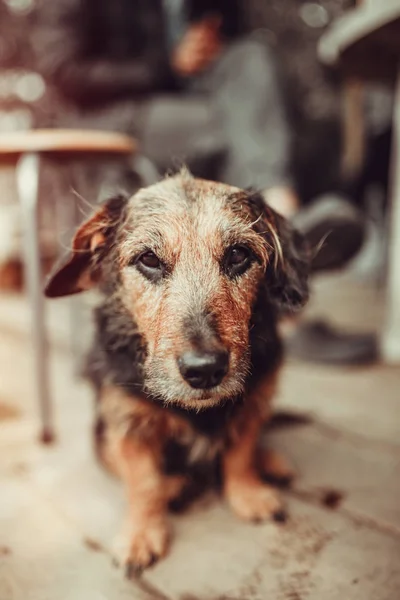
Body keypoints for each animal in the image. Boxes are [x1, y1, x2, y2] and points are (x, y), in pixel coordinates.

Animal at [44, 171, 310, 576]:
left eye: (238, 255)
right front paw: (141, 534)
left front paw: (248, 493)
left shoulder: (254, 402)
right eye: (149, 259)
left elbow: (241, 452)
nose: (205, 370)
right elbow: (143, 483)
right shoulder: (128, 424)